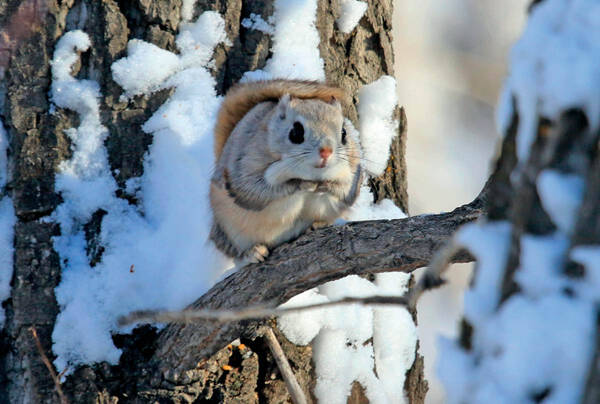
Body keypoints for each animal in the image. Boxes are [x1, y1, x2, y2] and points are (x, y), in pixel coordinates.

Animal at [209, 79, 364, 264]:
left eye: (344, 132)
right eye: (296, 131)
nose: (326, 152)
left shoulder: (353, 173)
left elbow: (345, 191)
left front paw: (325, 186)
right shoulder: (243, 168)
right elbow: (256, 190)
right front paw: (302, 184)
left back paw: (319, 224)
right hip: (228, 228)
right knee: (231, 249)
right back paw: (252, 253)